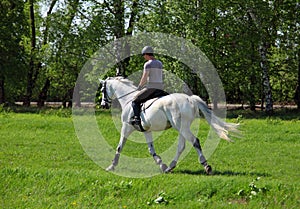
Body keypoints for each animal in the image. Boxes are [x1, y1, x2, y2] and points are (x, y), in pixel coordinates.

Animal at [99, 76, 239, 175]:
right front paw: (161, 164)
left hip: (181, 127)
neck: (128, 99)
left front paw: (112, 166)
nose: (103, 105)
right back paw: (170, 167)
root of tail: (190, 99)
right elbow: (151, 149)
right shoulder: (146, 130)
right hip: (182, 128)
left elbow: (119, 147)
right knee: (181, 146)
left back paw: (206, 165)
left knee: (195, 141)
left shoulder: (126, 127)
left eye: (102, 90)